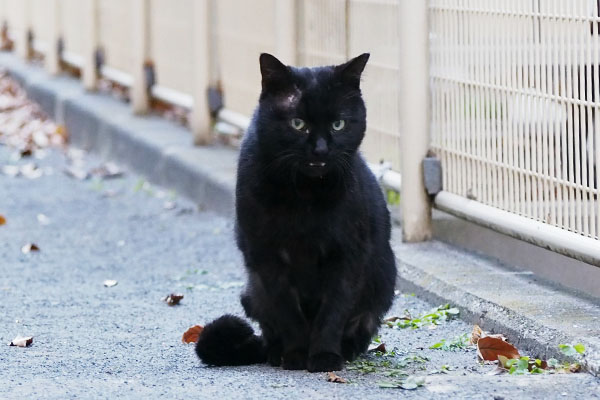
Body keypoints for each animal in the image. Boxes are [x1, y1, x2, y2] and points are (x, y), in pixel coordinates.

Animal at [195, 53, 396, 372]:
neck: (305, 195)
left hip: (383, 280)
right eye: (298, 123)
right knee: (269, 330)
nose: (320, 149)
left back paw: (347, 350)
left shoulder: (347, 255)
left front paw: (325, 357)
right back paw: (276, 353)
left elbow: (333, 311)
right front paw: (297, 355)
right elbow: (288, 312)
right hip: (252, 291)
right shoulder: (267, 256)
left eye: (338, 124)